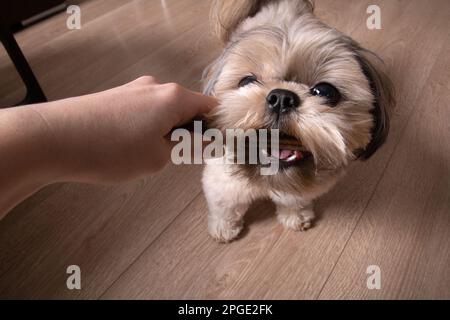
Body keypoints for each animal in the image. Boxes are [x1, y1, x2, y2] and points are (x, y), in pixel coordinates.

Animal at [201, 0, 394, 241]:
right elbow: (225, 207)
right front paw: (224, 229)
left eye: (325, 91)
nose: (282, 98)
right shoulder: (222, 181)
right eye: (247, 81)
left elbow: (294, 201)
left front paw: (296, 216)